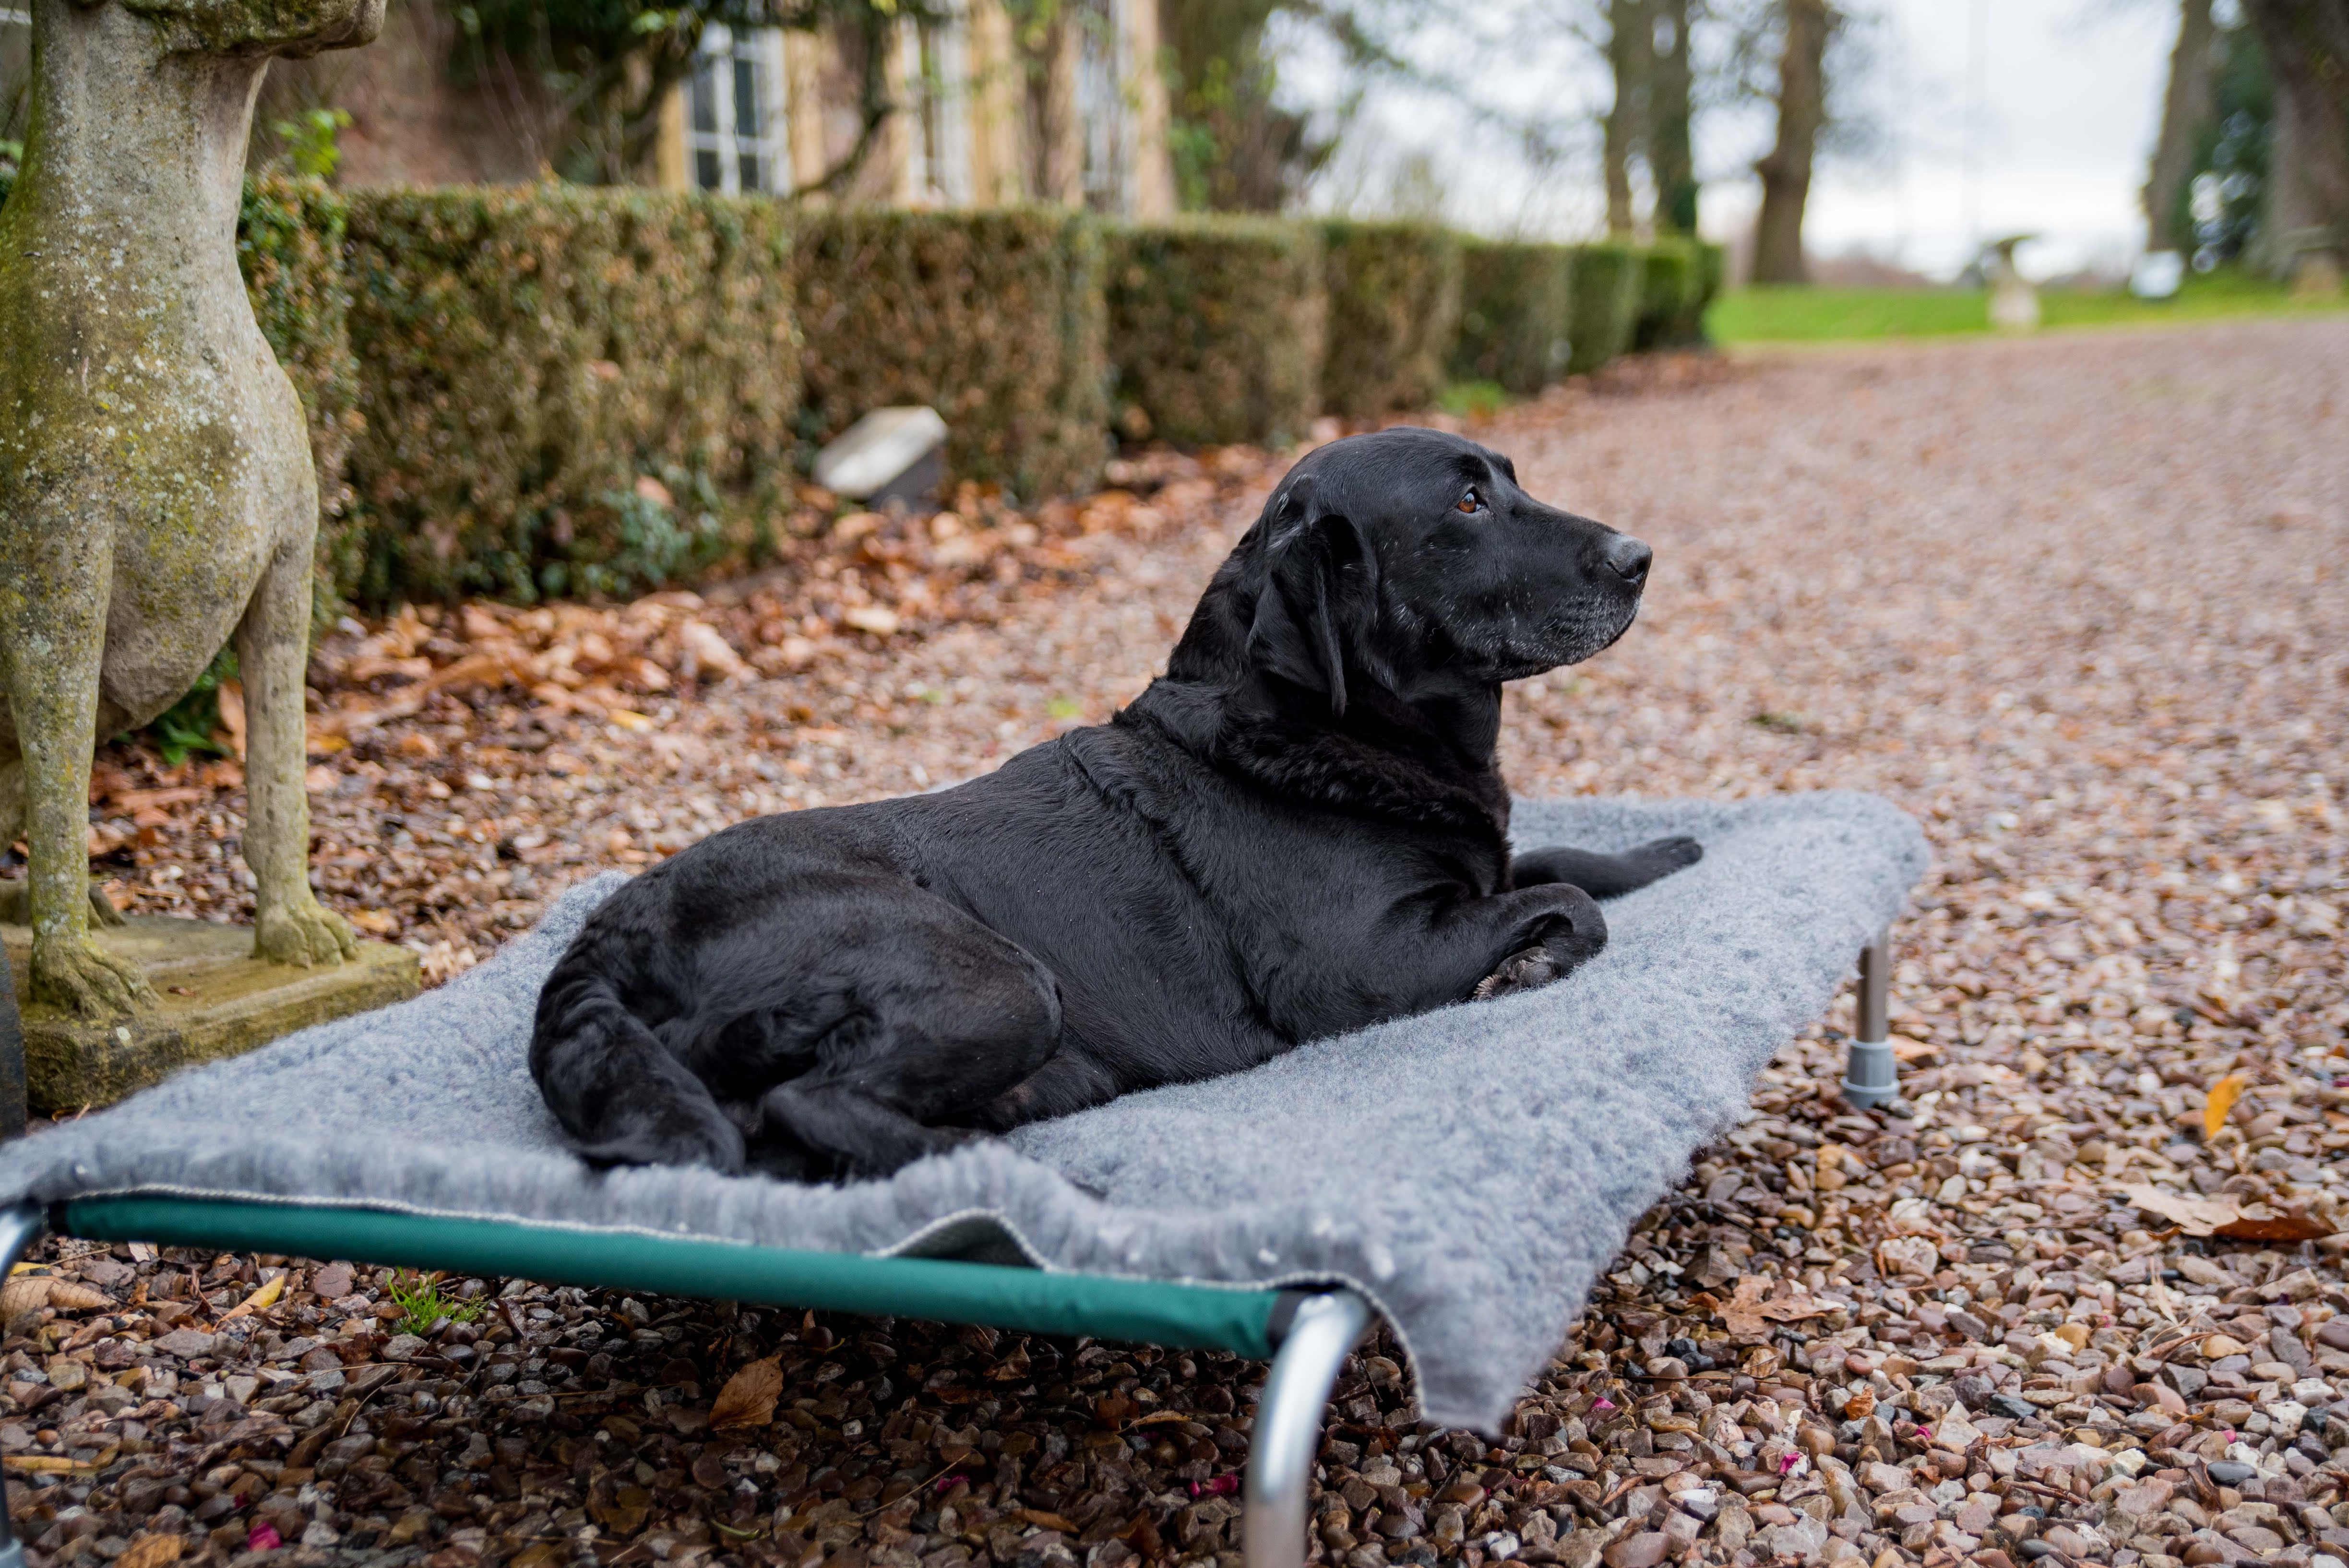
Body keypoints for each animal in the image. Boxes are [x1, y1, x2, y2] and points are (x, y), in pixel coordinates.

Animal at [531, 422, 1700, 1183]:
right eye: (1465, 503)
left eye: (1507, 478)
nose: (1640, 556)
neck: (1318, 729)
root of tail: (609, 930)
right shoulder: (1361, 966)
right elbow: (1559, 899)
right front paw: (1533, 960)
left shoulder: (1474, 862)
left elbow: (1559, 857)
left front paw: (1664, 851)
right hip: (993, 977)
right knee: (806, 1100)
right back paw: (1004, 1168)